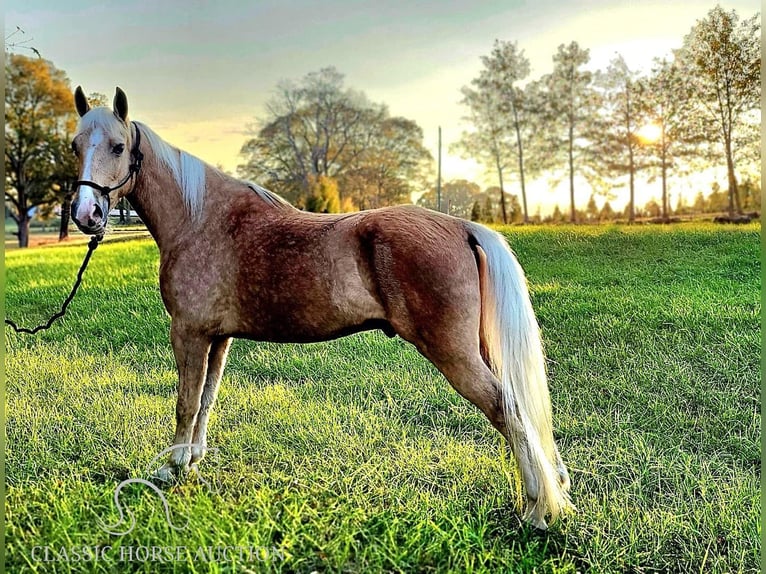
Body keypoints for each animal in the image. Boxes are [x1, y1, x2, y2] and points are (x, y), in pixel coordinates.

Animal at [72, 85, 572, 532]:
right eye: (76, 145)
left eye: (118, 146)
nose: (86, 214)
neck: (201, 219)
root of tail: (462, 227)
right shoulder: (217, 338)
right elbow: (206, 401)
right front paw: (192, 460)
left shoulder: (189, 333)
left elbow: (185, 402)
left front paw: (170, 468)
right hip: (479, 350)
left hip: (455, 355)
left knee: (508, 410)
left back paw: (535, 508)